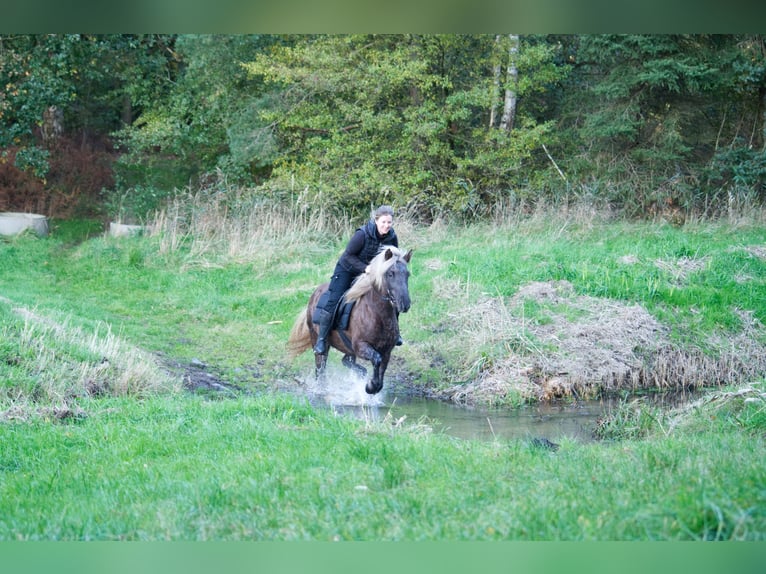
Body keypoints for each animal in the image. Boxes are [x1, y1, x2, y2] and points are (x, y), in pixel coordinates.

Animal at [288, 248, 414, 396]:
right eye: (390, 274)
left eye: (407, 274)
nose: (404, 304)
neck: (377, 314)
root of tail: (314, 294)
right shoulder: (361, 346)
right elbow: (376, 359)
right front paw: (370, 386)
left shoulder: (386, 350)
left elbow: (381, 370)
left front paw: (372, 386)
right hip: (318, 341)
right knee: (320, 368)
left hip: (347, 347)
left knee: (346, 361)